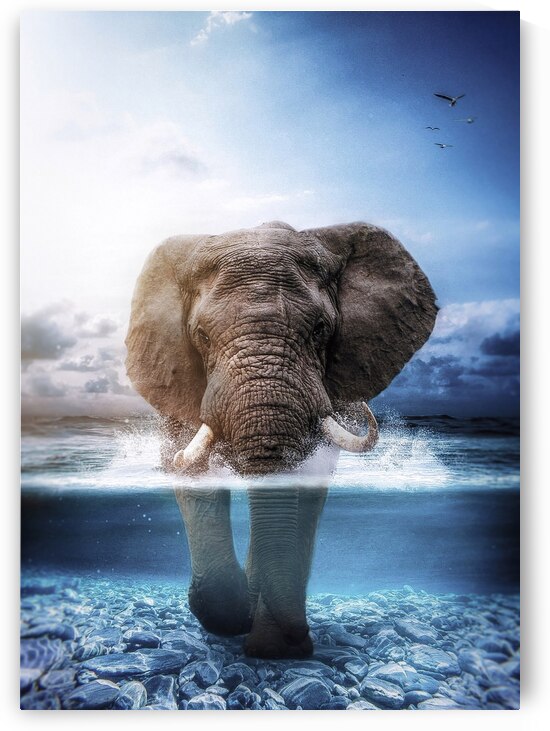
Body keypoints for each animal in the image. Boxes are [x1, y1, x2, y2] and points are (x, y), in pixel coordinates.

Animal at [125, 220, 437, 658]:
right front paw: (238, 615)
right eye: (201, 336)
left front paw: (274, 649)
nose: (296, 637)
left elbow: (307, 477)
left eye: (321, 329)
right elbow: (190, 467)